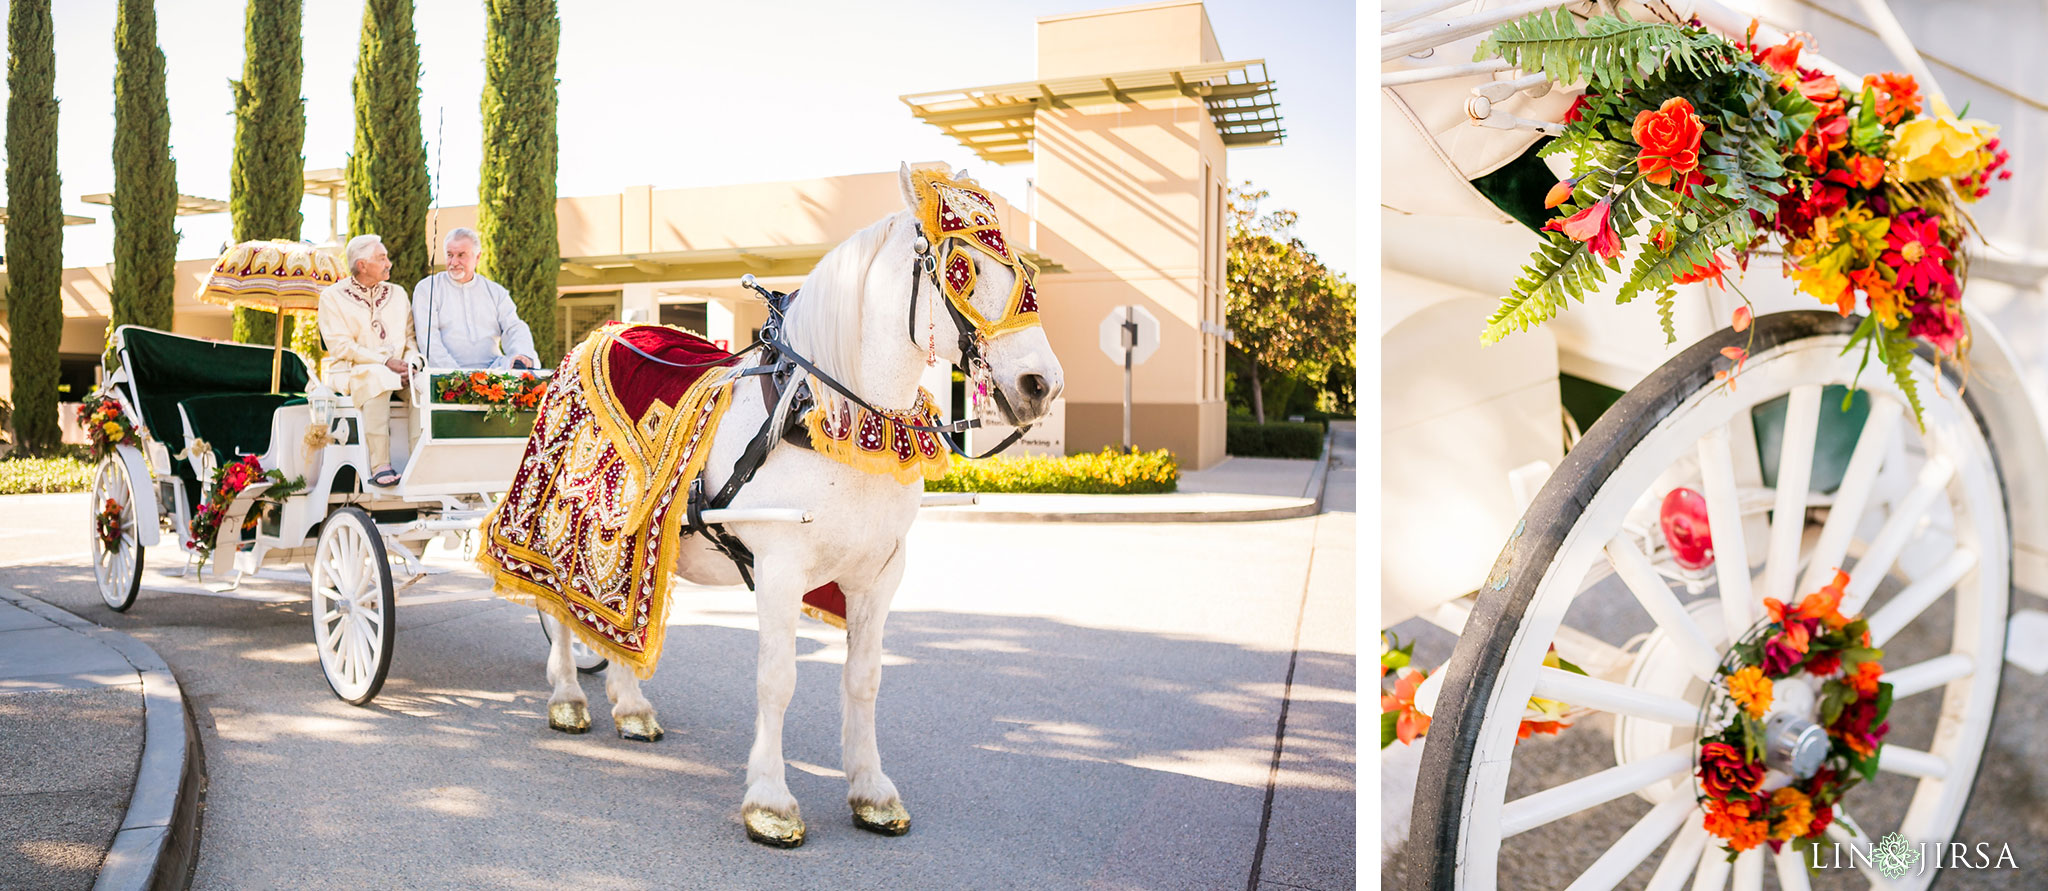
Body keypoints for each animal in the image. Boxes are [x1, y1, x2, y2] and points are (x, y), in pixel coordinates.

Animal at [536, 163, 1064, 847]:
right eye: (962, 268)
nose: (1041, 384)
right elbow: (778, 679)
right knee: (557, 610)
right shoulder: (781, 569)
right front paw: (770, 801)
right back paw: (568, 698)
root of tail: (600, 333)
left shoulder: (880, 574)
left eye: (1027, 272)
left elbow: (864, 680)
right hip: (564, 527)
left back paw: (631, 706)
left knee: (621, 614)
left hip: (639, 545)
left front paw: (872, 791)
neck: (833, 417)